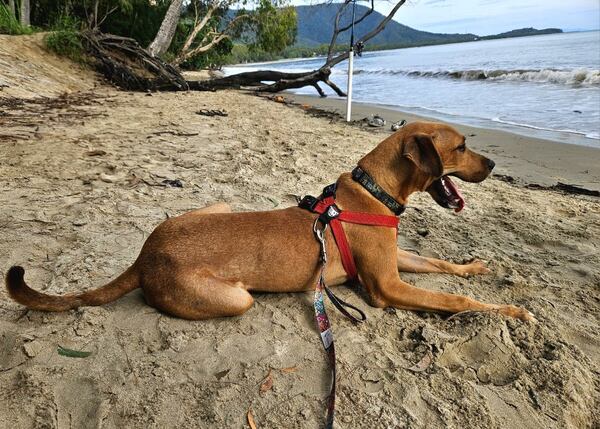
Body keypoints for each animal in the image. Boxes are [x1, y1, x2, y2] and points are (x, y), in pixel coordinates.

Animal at [6, 121, 534, 322]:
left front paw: (473, 267)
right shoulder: (386, 287)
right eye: (461, 147)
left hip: (216, 206)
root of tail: (144, 256)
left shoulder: (395, 261)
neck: (374, 190)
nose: (494, 165)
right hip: (236, 298)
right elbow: (454, 300)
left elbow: (440, 266)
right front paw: (510, 312)